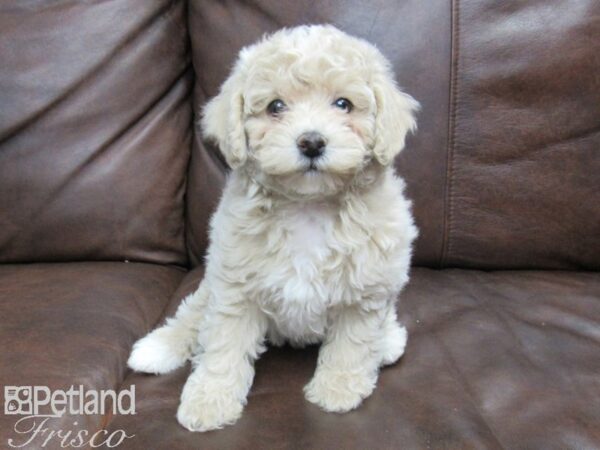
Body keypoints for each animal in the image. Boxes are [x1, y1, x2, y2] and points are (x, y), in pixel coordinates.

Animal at [127, 25, 418, 432]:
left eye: (343, 104)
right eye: (275, 107)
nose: (312, 141)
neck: (309, 205)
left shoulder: (365, 292)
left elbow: (352, 344)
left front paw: (337, 390)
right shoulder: (235, 287)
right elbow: (223, 347)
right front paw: (209, 401)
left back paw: (388, 339)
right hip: (213, 282)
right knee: (193, 313)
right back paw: (157, 348)